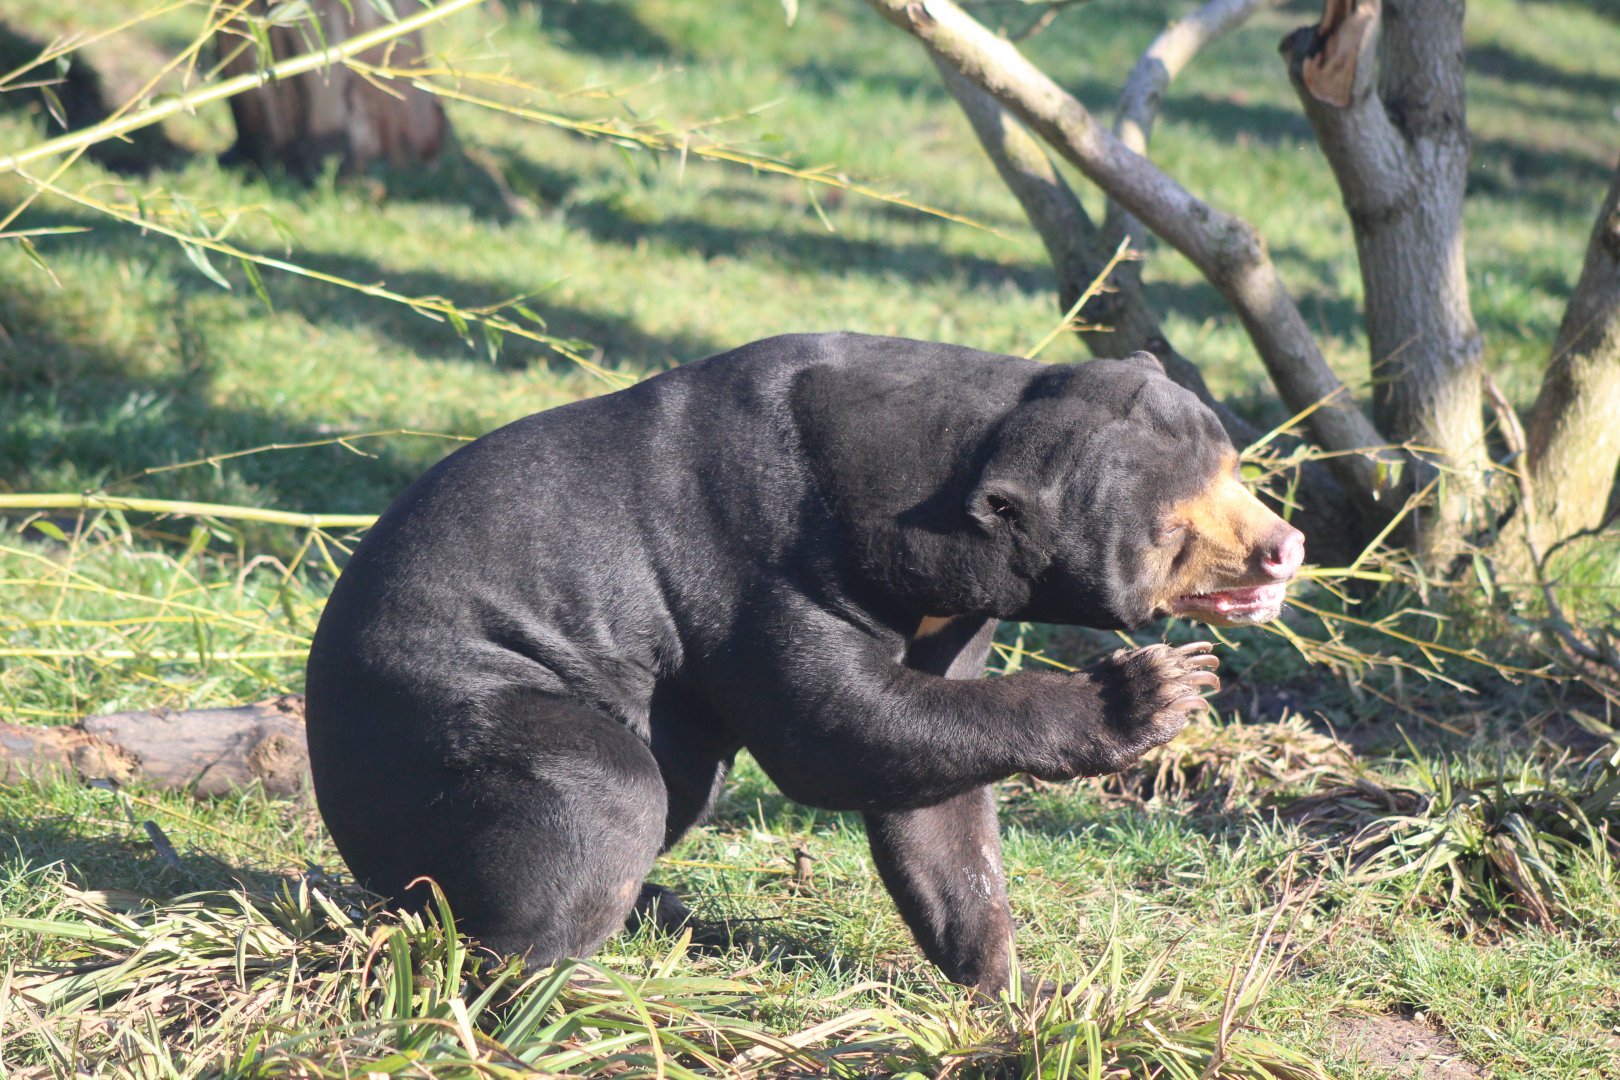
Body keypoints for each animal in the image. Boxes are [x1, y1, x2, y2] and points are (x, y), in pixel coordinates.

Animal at [304, 332, 1304, 994]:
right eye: (1173, 529)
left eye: (1234, 470)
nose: (1284, 550)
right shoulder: (760, 562)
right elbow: (835, 725)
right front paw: (1158, 688)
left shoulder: (951, 615)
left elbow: (934, 801)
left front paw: (1018, 990)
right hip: (444, 716)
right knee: (601, 790)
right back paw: (550, 977)